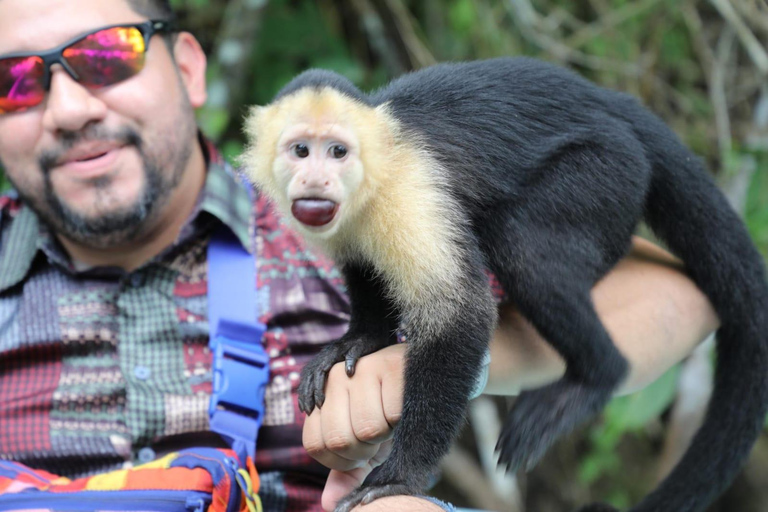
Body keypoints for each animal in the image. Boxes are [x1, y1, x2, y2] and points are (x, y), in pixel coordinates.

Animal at [243, 57, 768, 512]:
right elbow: (362, 266)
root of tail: (608, 99)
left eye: (337, 151)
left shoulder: (407, 193)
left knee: (524, 246)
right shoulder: (349, 224)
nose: (316, 178)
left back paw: (596, 375)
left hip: (609, 171)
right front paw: (359, 341)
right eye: (301, 151)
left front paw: (401, 474)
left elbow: (462, 312)